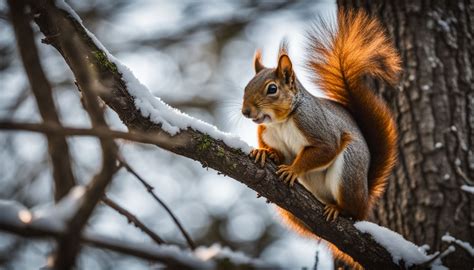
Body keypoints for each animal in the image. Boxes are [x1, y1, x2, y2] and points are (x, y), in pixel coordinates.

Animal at [241, 9, 400, 268]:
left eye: (272, 89)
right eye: (245, 87)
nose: (245, 112)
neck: (280, 122)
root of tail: (365, 198)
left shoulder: (318, 128)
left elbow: (325, 149)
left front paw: (293, 170)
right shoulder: (267, 133)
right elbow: (277, 152)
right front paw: (264, 153)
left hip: (349, 171)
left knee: (352, 210)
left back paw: (339, 210)